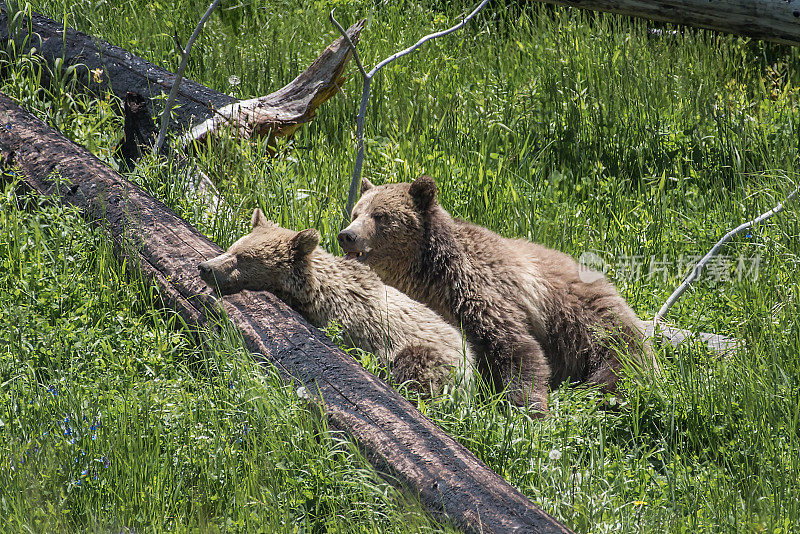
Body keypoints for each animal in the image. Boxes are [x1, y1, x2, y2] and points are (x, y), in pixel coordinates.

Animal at [199, 211, 472, 396]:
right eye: (233, 247)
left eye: (243, 258)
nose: (205, 267)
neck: (316, 293)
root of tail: (470, 359)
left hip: (433, 358)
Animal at [338, 176, 656, 414]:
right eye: (356, 213)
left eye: (380, 215)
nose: (347, 235)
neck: (426, 274)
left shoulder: (479, 292)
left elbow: (515, 347)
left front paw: (527, 409)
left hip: (581, 321)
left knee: (621, 357)